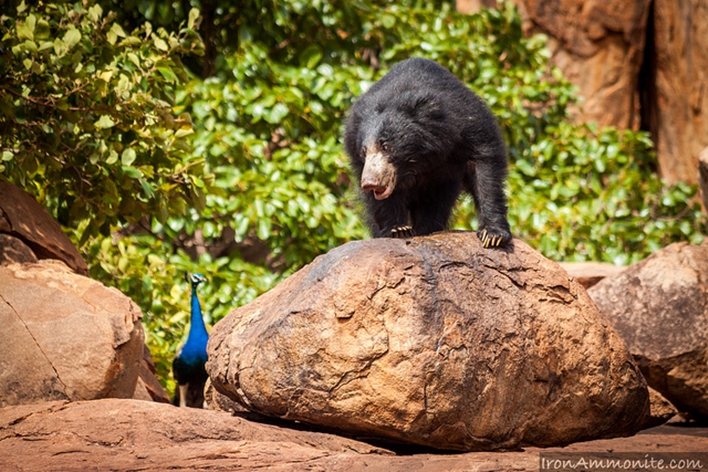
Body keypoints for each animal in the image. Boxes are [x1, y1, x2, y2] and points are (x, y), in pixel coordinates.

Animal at [342, 57, 508, 249]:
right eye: (364, 152)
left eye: (386, 146)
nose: (370, 183)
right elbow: (381, 202)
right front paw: (398, 230)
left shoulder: (469, 126)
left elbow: (484, 170)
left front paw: (493, 235)